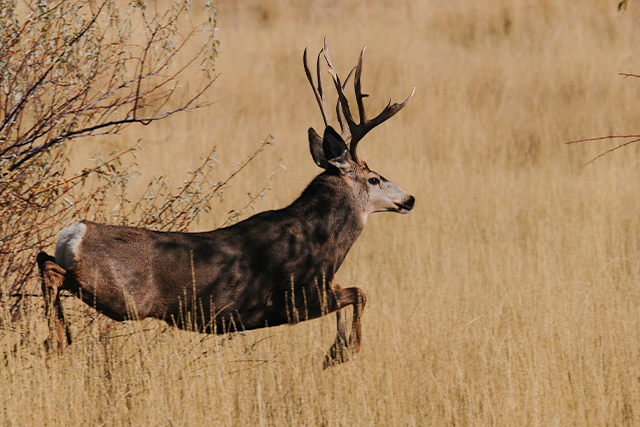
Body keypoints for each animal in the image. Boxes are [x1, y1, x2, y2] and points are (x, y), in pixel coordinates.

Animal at [36, 39, 415, 367]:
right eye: (374, 178)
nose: (409, 199)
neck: (322, 243)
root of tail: (74, 233)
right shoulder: (296, 298)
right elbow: (360, 292)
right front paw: (342, 353)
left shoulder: (321, 290)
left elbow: (352, 295)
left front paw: (335, 351)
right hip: (122, 296)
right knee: (53, 272)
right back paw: (56, 339)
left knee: (44, 260)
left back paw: (57, 338)